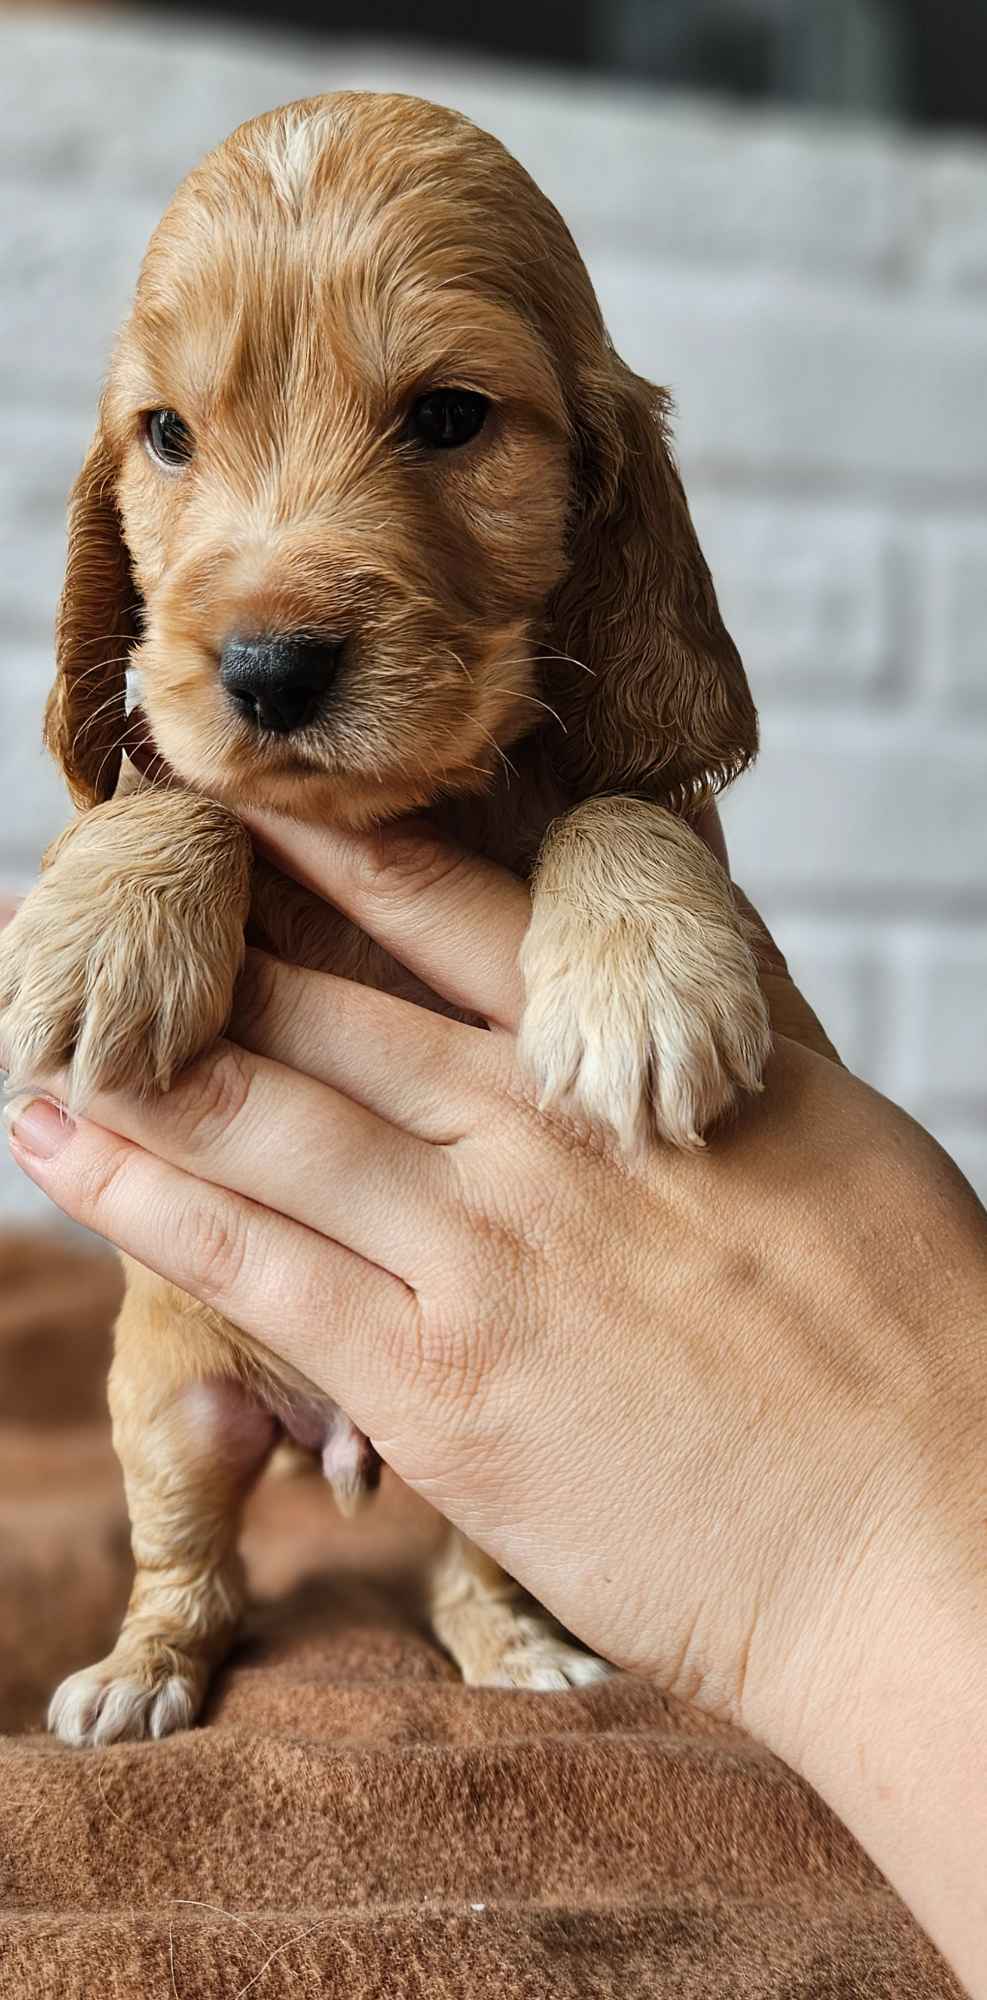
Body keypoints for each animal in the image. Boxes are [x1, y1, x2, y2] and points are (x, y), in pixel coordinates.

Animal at [0, 94, 771, 1736]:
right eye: (168, 433)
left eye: (450, 417)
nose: (269, 669)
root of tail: (345, 1436)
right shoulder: (172, 748)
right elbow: (163, 783)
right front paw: (100, 931)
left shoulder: (644, 789)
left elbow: (621, 802)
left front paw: (643, 988)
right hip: (168, 1398)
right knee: (191, 1565)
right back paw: (136, 1675)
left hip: (512, 1461)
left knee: (464, 1570)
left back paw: (524, 1650)